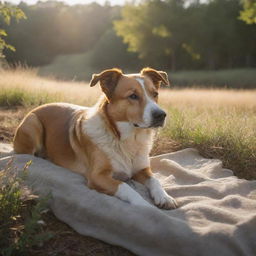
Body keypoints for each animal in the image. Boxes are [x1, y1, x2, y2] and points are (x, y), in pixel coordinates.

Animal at [14, 68, 178, 210]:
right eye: (133, 96)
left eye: (155, 94)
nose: (161, 115)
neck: (127, 139)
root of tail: (40, 106)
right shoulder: (97, 176)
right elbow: (124, 186)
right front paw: (145, 206)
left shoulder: (142, 169)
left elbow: (155, 180)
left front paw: (165, 197)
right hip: (33, 124)